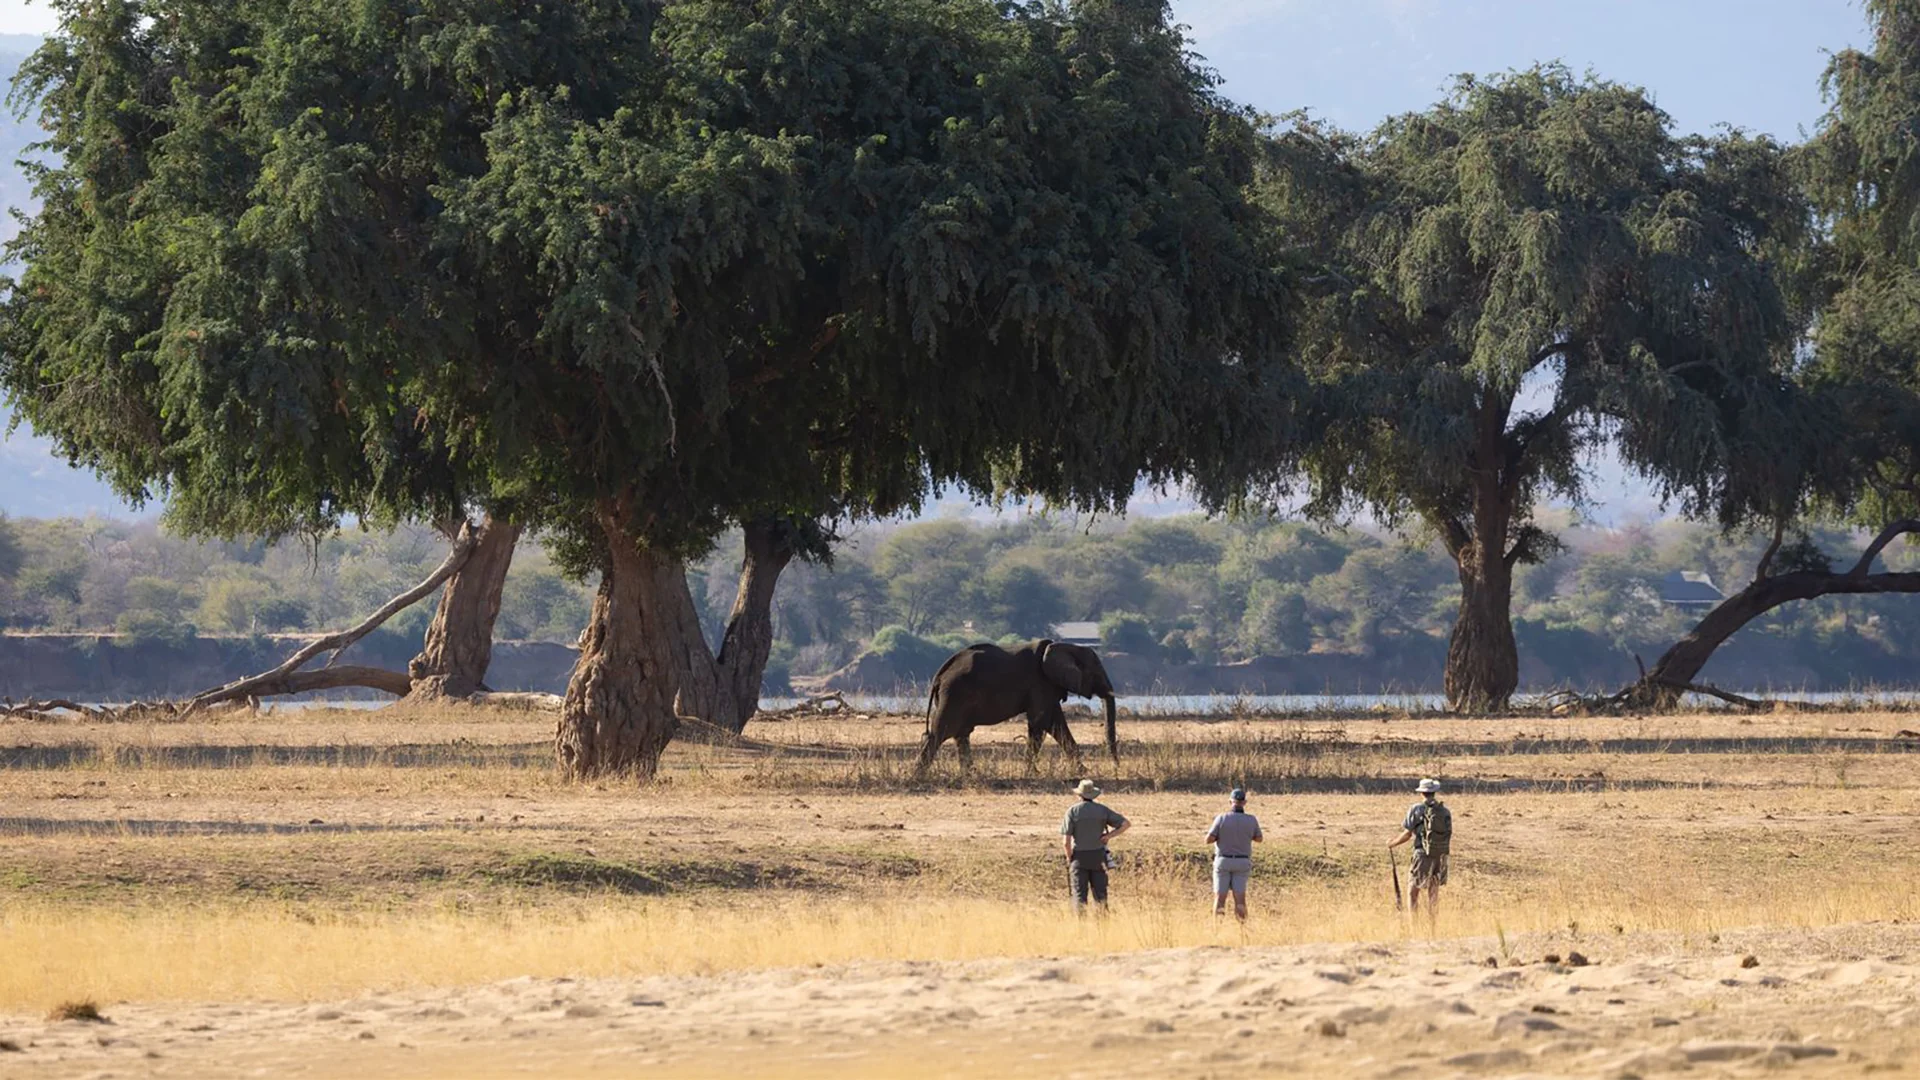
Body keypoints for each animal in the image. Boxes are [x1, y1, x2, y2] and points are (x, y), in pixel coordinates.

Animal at [916, 639, 1118, 773]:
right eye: (1096, 673)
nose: (1116, 766)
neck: (1063, 647)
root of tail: (939, 674)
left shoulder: (1047, 686)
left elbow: (1056, 724)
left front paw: (1084, 771)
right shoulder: (1039, 683)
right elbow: (1040, 722)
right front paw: (1031, 773)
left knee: (961, 734)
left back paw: (970, 773)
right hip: (954, 694)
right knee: (941, 732)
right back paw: (919, 774)